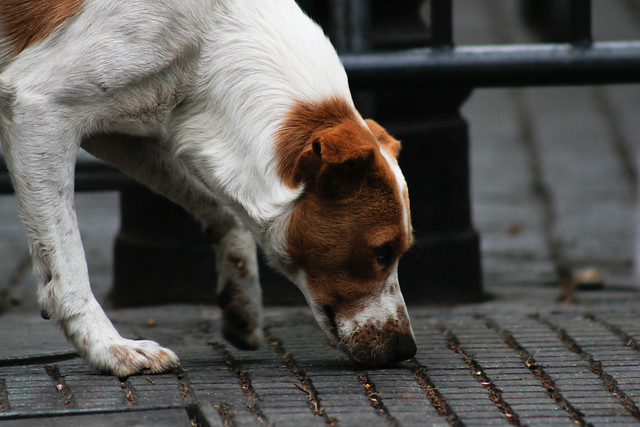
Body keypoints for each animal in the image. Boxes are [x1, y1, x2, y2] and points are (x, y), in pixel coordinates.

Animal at [0, 0, 416, 378]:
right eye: (382, 252)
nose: (406, 349)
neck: (211, 36)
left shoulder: (119, 131)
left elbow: (222, 210)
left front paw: (242, 298)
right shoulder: (41, 111)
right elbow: (68, 267)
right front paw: (109, 349)